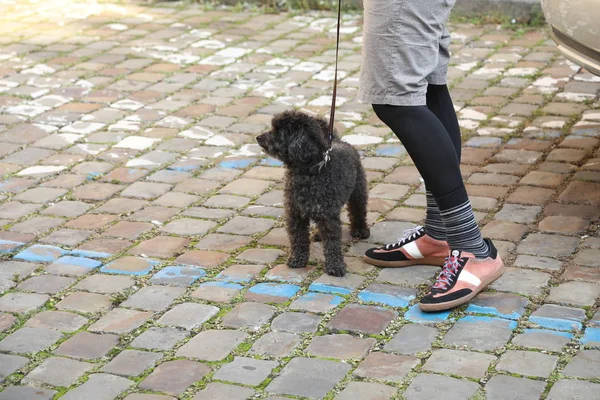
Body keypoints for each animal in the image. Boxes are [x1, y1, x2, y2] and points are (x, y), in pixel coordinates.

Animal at [256, 111, 370, 276]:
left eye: (279, 131)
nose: (258, 137)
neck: (306, 173)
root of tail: (337, 140)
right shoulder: (295, 214)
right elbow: (298, 239)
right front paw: (298, 259)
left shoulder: (328, 217)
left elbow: (332, 243)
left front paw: (335, 266)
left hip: (358, 191)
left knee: (358, 211)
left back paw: (360, 230)